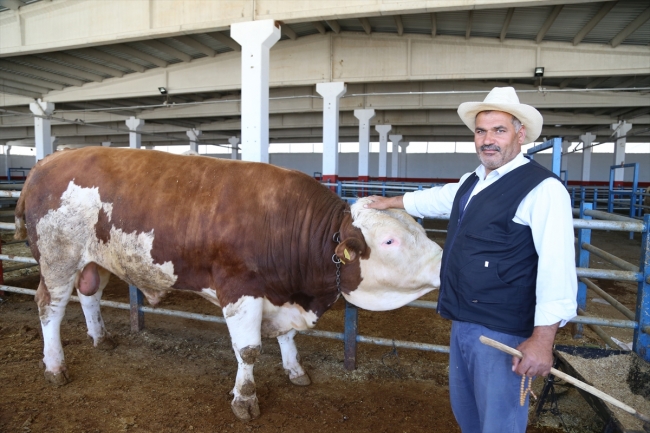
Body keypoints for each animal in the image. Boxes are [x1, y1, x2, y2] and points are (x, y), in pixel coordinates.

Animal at [15, 147, 440, 420]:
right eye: (390, 241)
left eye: (418, 228)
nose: (441, 263)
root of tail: (44, 163)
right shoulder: (241, 288)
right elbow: (249, 350)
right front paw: (245, 400)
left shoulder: (280, 293)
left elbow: (288, 337)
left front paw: (295, 370)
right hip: (58, 258)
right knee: (50, 307)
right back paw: (55, 366)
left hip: (94, 259)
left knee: (90, 295)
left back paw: (101, 338)